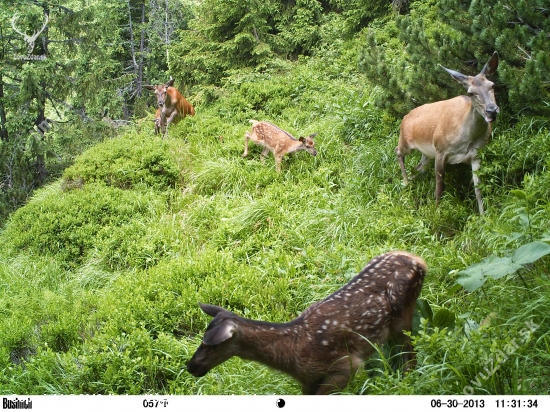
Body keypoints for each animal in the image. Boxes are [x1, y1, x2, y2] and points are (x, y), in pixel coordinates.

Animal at [188, 249, 430, 394]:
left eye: (211, 345)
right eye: (201, 339)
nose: (190, 366)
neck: (292, 354)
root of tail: (420, 260)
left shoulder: (345, 365)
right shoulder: (307, 380)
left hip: (403, 314)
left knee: (411, 350)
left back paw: (408, 381)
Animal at [396, 51, 500, 214]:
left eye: (492, 85)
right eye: (470, 92)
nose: (491, 110)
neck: (466, 139)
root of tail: (405, 117)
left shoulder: (477, 154)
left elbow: (478, 190)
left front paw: (483, 215)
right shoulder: (441, 150)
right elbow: (439, 188)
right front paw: (437, 211)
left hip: (427, 154)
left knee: (418, 167)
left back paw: (410, 182)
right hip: (406, 142)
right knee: (398, 151)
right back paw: (405, 182)